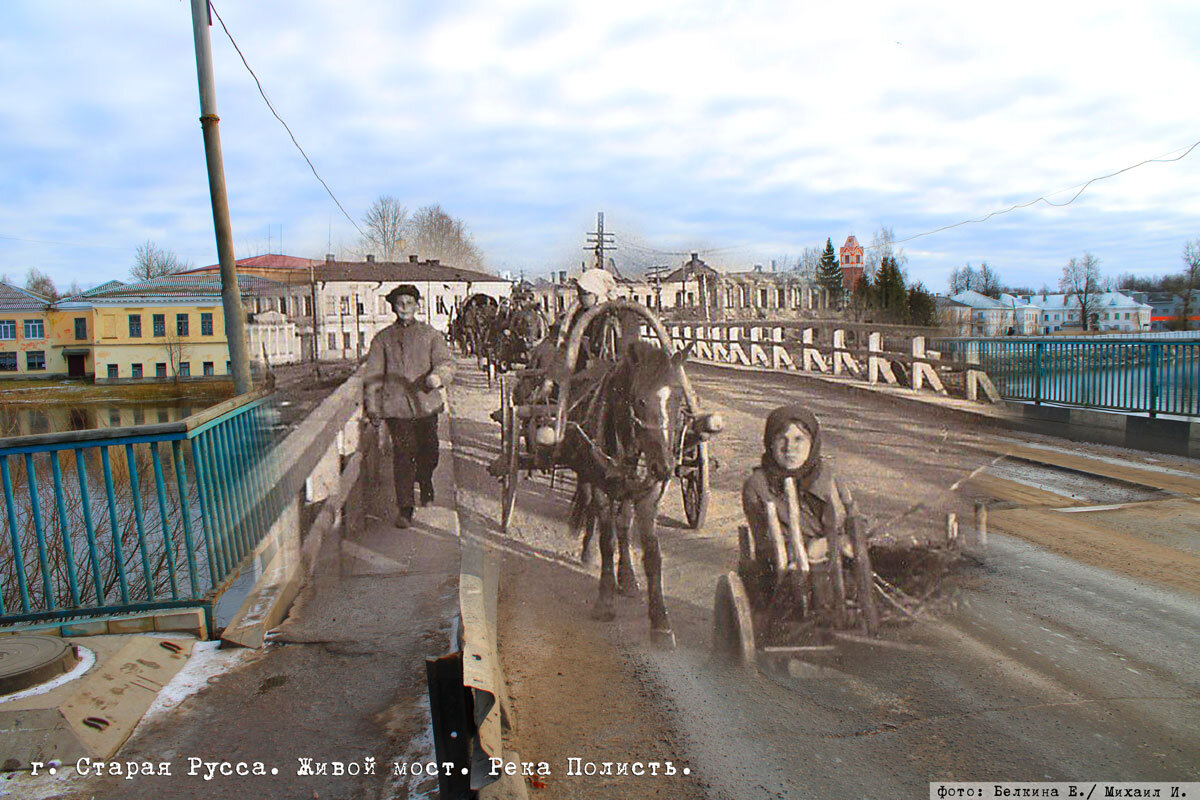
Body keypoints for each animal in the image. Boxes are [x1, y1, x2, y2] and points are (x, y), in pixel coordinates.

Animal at [559, 340, 691, 647]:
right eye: (640, 401)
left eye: (678, 399)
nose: (664, 467)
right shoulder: (600, 487)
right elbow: (606, 542)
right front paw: (605, 601)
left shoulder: (648, 495)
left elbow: (652, 554)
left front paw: (661, 622)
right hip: (587, 475)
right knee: (593, 512)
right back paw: (588, 552)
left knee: (623, 523)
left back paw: (628, 578)